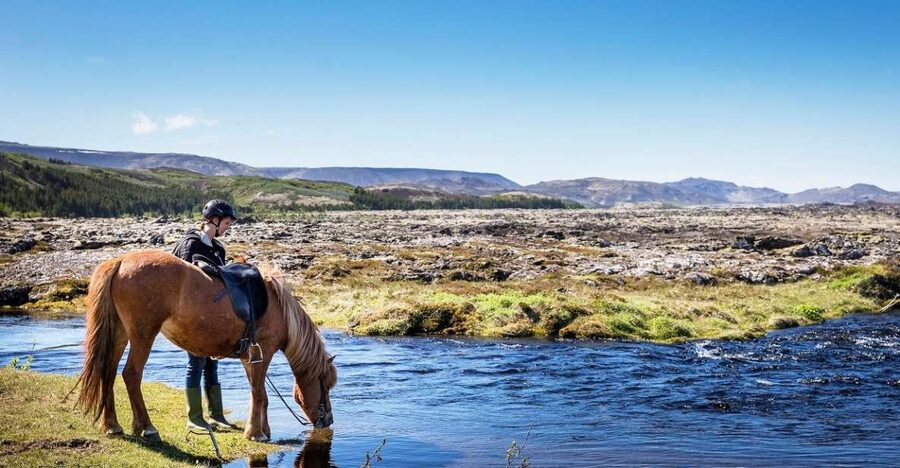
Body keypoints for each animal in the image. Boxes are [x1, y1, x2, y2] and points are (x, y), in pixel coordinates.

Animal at [75, 249, 337, 442]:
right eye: (325, 384)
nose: (329, 421)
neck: (278, 309)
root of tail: (121, 262)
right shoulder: (263, 354)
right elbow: (259, 394)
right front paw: (256, 433)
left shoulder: (249, 358)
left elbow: (259, 392)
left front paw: (263, 430)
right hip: (143, 335)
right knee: (131, 374)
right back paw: (147, 428)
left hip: (120, 334)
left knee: (107, 372)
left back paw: (112, 425)